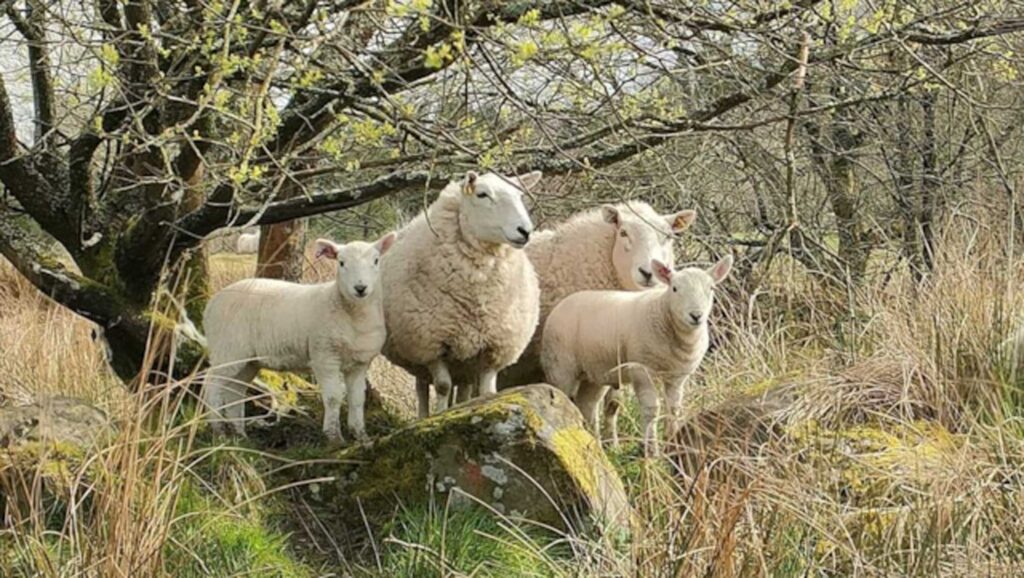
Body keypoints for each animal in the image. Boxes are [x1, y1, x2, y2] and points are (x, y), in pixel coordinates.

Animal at [201, 232, 393, 440]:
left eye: (376, 261)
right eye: (341, 263)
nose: (360, 288)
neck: (352, 316)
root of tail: (211, 304)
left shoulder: (360, 363)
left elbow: (357, 400)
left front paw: (361, 436)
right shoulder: (324, 356)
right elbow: (333, 397)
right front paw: (334, 436)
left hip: (247, 359)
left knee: (235, 390)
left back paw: (239, 433)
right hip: (228, 348)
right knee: (212, 384)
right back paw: (218, 430)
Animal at [382, 169, 544, 418]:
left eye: (520, 195)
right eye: (482, 194)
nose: (525, 231)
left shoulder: (494, 346)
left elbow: (488, 391)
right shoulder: (431, 343)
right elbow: (442, 386)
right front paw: (438, 417)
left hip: (465, 359)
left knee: (464, 389)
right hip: (420, 353)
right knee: (422, 387)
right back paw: (423, 416)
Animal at [540, 255, 733, 452]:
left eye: (711, 288)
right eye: (675, 288)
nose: (696, 315)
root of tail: (564, 302)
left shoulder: (677, 376)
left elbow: (674, 409)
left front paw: (672, 443)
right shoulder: (641, 370)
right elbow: (651, 409)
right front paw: (651, 450)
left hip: (595, 373)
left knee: (587, 405)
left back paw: (595, 444)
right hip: (560, 367)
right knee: (564, 398)